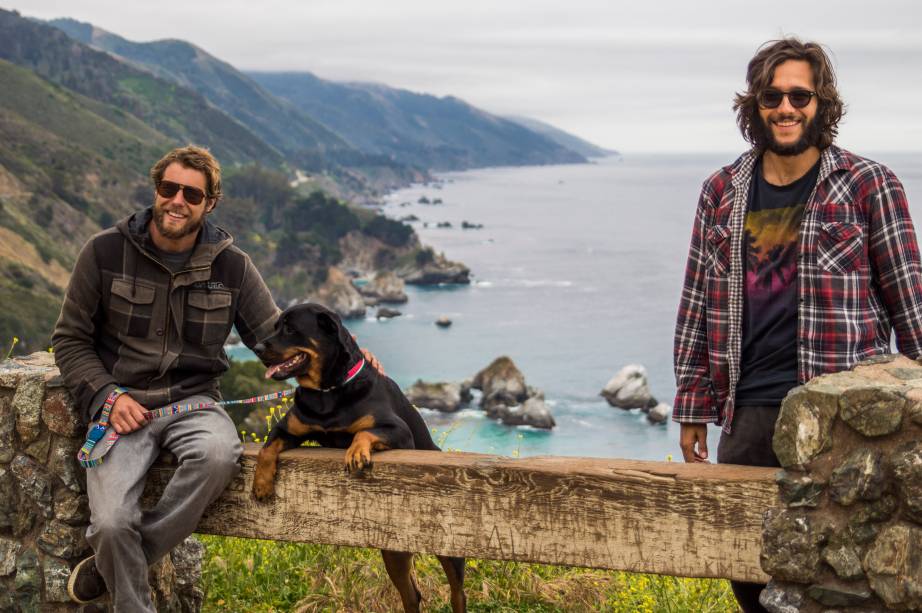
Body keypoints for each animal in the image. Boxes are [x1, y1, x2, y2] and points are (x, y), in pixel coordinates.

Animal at [250, 304, 464, 608]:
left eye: (290, 329)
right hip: (393, 549)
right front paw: (261, 483)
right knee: (411, 594)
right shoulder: (287, 428)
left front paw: (356, 453)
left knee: (457, 591)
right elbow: (268, 448)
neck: (328, 391)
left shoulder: (398, 430)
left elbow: (363, 432)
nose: (257, 347)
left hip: (448, 546)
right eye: (276, 326)